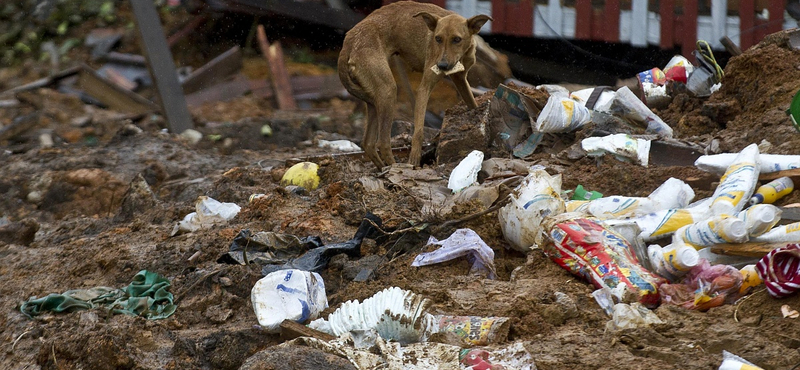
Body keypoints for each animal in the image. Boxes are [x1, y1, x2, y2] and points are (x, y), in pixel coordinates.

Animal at [340, 1, 490, 168]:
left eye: (457, 39)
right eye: (437, 39)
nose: (442, 65)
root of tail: (348, 41)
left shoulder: (460, 79)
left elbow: (472, 103)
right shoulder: (424, 88)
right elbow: (418, 132)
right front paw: (414, 160)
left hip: (374, 100)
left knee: (368, 144)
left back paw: (383, 169)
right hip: (388, 91)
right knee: (382, 143)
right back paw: (395, 167)